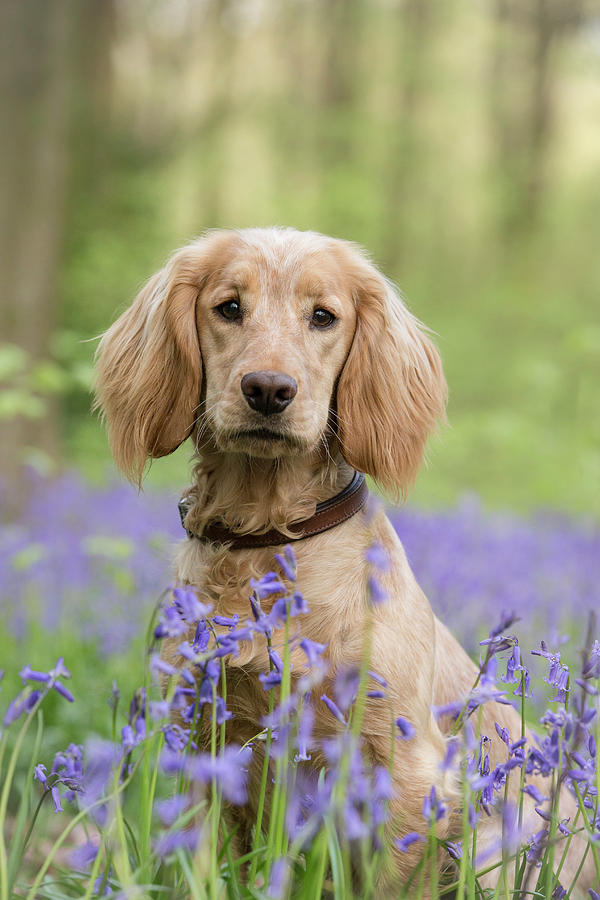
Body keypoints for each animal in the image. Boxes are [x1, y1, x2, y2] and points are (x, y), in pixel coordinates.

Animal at [95, 227, 596, 892]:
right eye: (229, 307)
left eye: (323, 317)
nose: (268, 389)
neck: (270, 539)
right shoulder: (203, 740)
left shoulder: (403, 768)